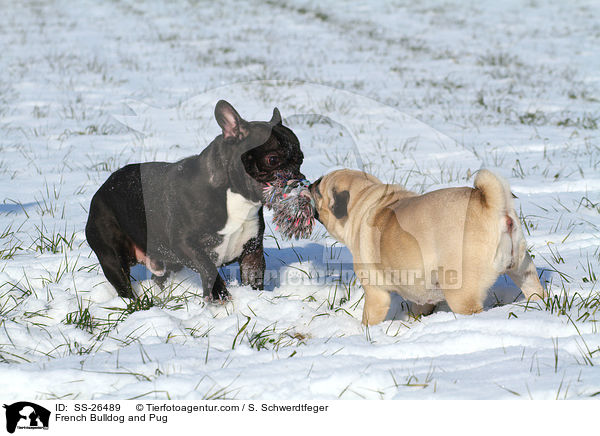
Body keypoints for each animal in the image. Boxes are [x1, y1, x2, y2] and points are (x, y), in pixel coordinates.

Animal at [84, 100, 304, 302]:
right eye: (272, 160)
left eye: (301, 159)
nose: (298, 179)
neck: (235, 197)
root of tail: (103, 188)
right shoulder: (185, 245)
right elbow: (208, 268)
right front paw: (219, 297)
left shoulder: (252, 252)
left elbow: (253, 277)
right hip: (112, 256)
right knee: (123, 285)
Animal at [312, 169, 548, 326]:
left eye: (318, 190)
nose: (309, 184)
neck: (364, 200)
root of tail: (492, 206)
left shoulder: (376, 294)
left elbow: (369, 318)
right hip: (522, 269)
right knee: (534, 290)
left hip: (461, 293)